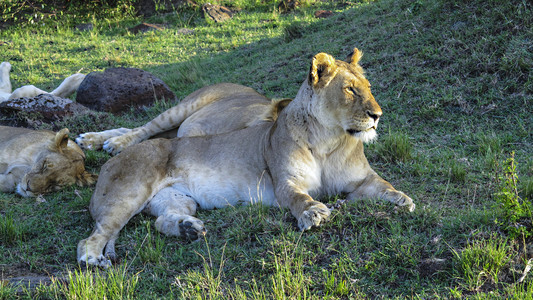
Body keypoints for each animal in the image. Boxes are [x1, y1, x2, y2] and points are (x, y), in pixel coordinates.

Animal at [78, 49, 416, 268]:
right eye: (349, 90)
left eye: (368, 88)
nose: (377, 115)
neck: (328, 139)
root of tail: (109, 165)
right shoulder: (285, 182)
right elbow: (299, 198)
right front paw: (313, 213)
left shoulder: (361, 180)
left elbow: (384, 185)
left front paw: (404, 200)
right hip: (131, 190)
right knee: (98, 233)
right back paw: (91, 256)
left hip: (177, 198)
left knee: (161, 219)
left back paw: (188, 229)